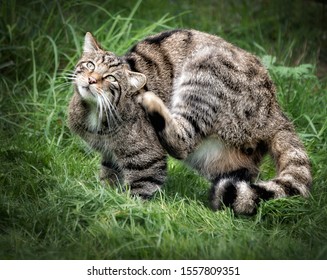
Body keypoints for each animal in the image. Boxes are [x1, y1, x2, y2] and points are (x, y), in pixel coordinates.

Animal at [68, 29, 312, 214]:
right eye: (90, 65)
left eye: (110, 78)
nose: (91, 80)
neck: (94, 112)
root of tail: (275, 107)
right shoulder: (110, 155)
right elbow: (108, 176)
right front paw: (103, 195)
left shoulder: (148, 160)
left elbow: (138, 192)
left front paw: (122, 208)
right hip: (224, 161)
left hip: (204, 73)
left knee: (182, 143)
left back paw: (152, 101)